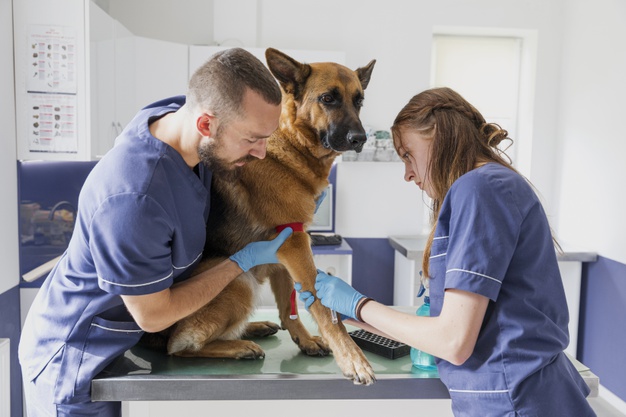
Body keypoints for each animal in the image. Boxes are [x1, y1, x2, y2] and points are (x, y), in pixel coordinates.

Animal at [158, 48, 376, 384]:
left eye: (359, 100)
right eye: (328, 98)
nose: (360, 138)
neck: (290, 144)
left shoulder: (287, 245)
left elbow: (291, 307)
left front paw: (305, 340)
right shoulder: (295, 244)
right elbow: (324, 309)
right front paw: (352, 358)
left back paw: (252, 327)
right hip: (239, 281)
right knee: (180, 344)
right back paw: (238, 346)